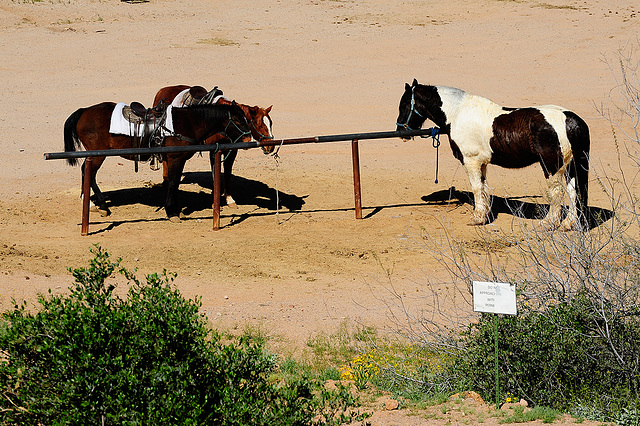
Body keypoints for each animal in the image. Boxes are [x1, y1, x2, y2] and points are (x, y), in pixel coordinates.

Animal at [63, 100, 252, 220]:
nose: (248, 138)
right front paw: (171, 212)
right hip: (98, 154)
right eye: (237, 119)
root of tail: (83, 111)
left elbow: (174, 182)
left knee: (87, 173)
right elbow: (173, 182)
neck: (188, 122)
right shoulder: (175, 158)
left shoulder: (179, 158)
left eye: (246, 118)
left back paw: (93, 204)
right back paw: (99, 205)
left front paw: (175, 209)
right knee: (89, 173)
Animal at [398, 81, 592, 231]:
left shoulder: (471, 161)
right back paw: (568, 224)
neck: (458, 112)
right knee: (574, 192)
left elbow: (476, 188)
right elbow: (483, 188)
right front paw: (484, 216)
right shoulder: (481, 163)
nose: (400, 131)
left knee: (557, 192)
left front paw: (476, 219)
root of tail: (571, 120)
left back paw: (548, 224)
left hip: (552, 166)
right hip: (571, 166)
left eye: (405, 104)